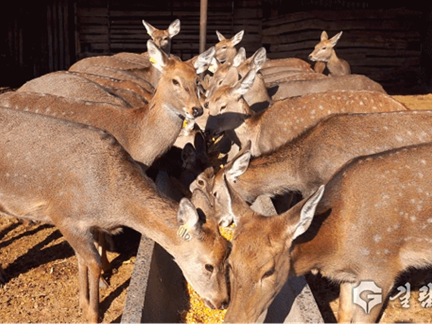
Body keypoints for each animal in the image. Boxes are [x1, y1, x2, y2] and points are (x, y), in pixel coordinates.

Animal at [0, 107, 230, 324]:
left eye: (227, 254)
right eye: (209, 265)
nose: (223, 301)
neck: (113, 202)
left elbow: (82, 259)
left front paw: (83, 303)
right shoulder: (63, 216)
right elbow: (93, 263)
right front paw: (93, 314)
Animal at [224, 142, 432, 324]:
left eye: (269, 271)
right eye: (230, 263)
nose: (233, 320)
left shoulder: (381, 270)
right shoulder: (348, 277)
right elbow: (344, 312)